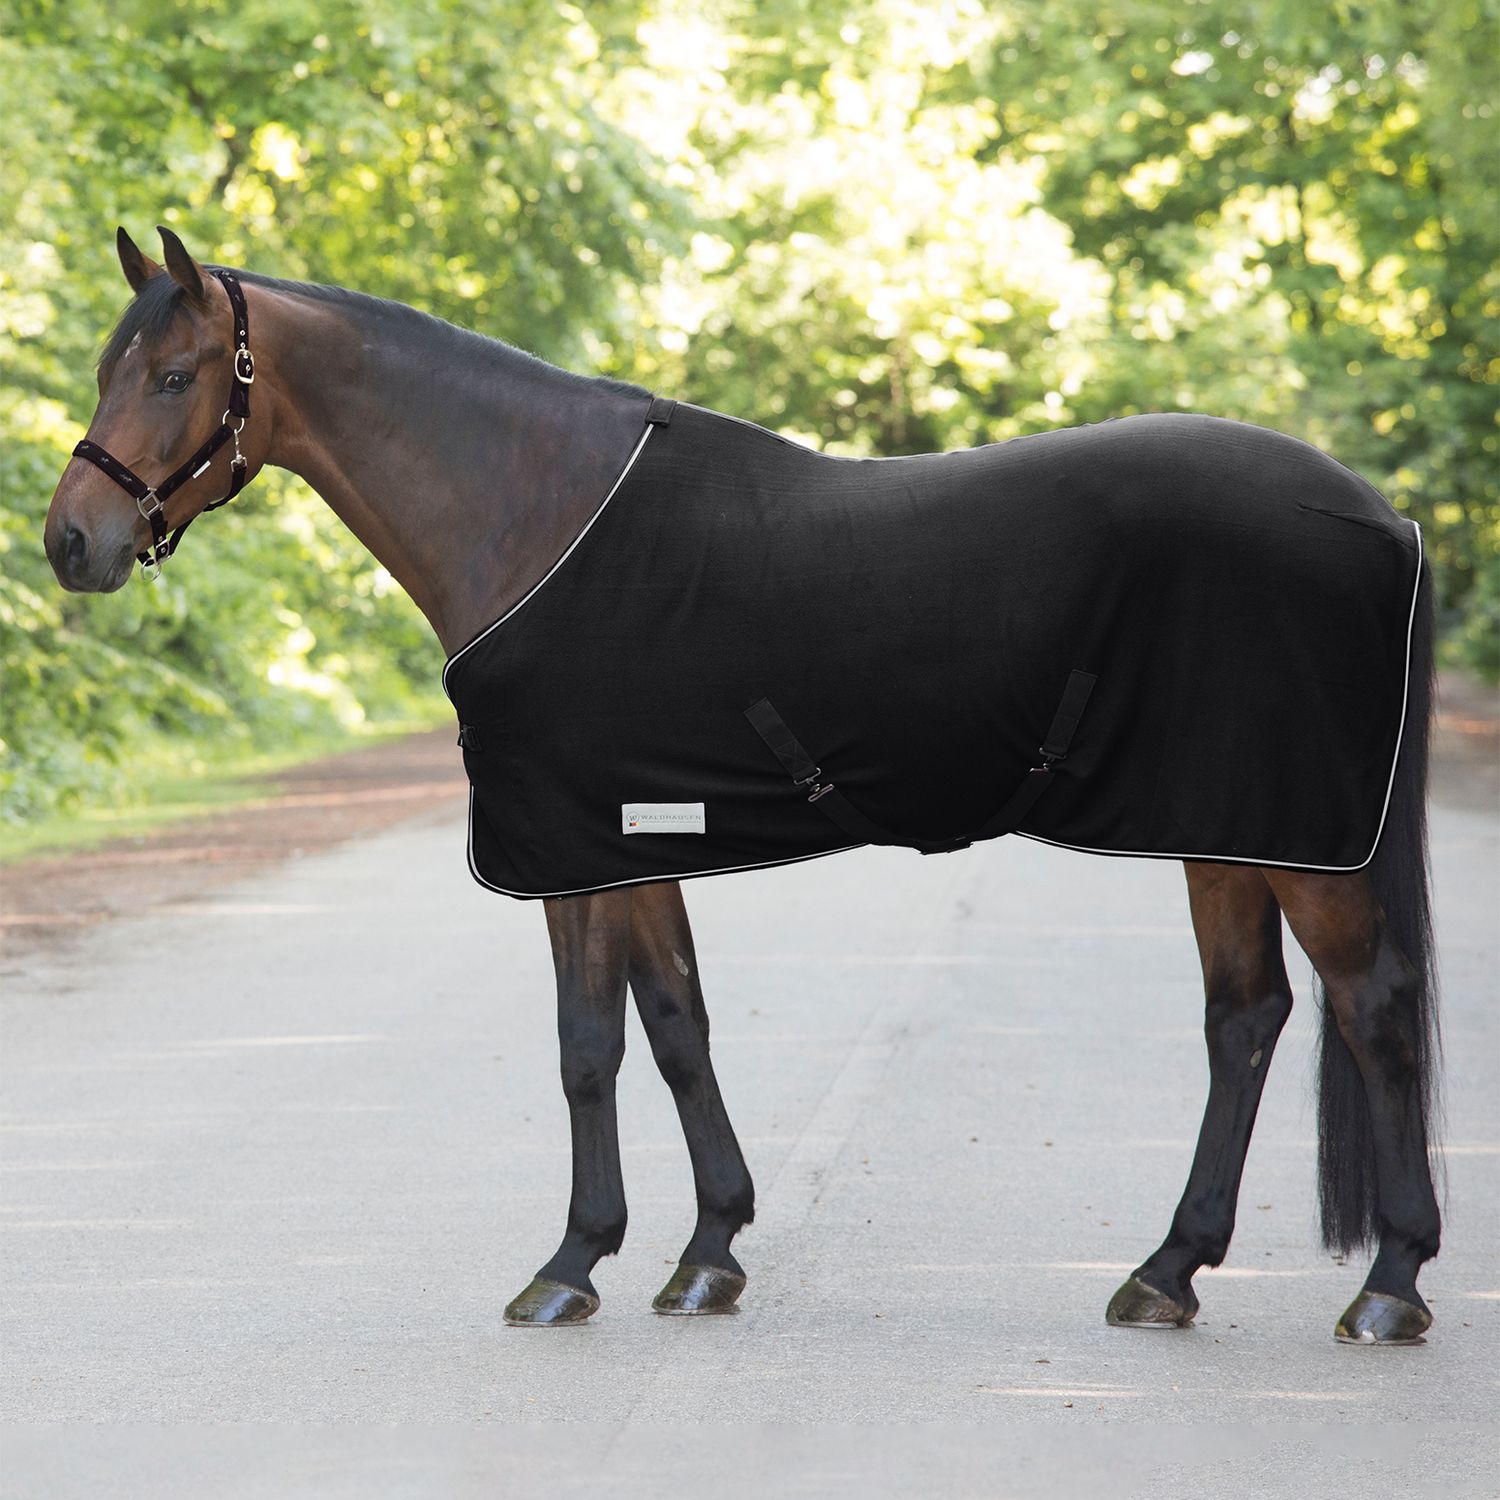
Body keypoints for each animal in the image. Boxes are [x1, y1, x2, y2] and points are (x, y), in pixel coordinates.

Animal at [38, 228, 1440, 1344]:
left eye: (174, 375)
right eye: (110, 370)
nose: (69, 542)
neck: (535, 514)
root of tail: (1383, 516)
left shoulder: (573, 848)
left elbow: (587, 1047)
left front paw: (569, 1265)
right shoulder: (636, 842)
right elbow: (675, 1026)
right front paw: (707, 1253)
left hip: (1290, 840)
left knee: (1369, 1008)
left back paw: (1390, 1286)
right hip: (1230, 831)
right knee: (1247, 1019)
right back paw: (1169, 1272)